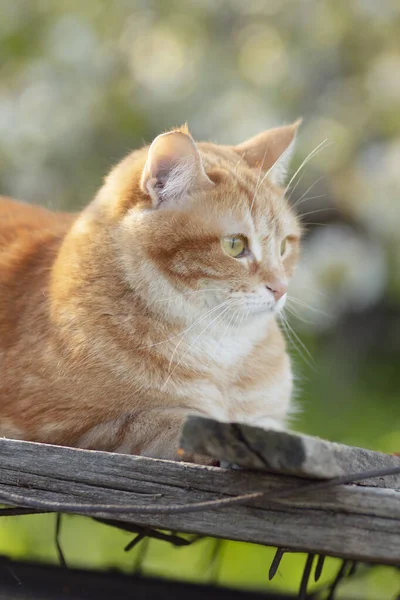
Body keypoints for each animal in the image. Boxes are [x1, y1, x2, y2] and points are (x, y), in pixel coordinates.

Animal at [0, 122, 300, 460]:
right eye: (235, 245)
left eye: (284, 246)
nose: (280, 288)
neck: (222, 353)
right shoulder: (71, 427)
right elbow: (180, 424)